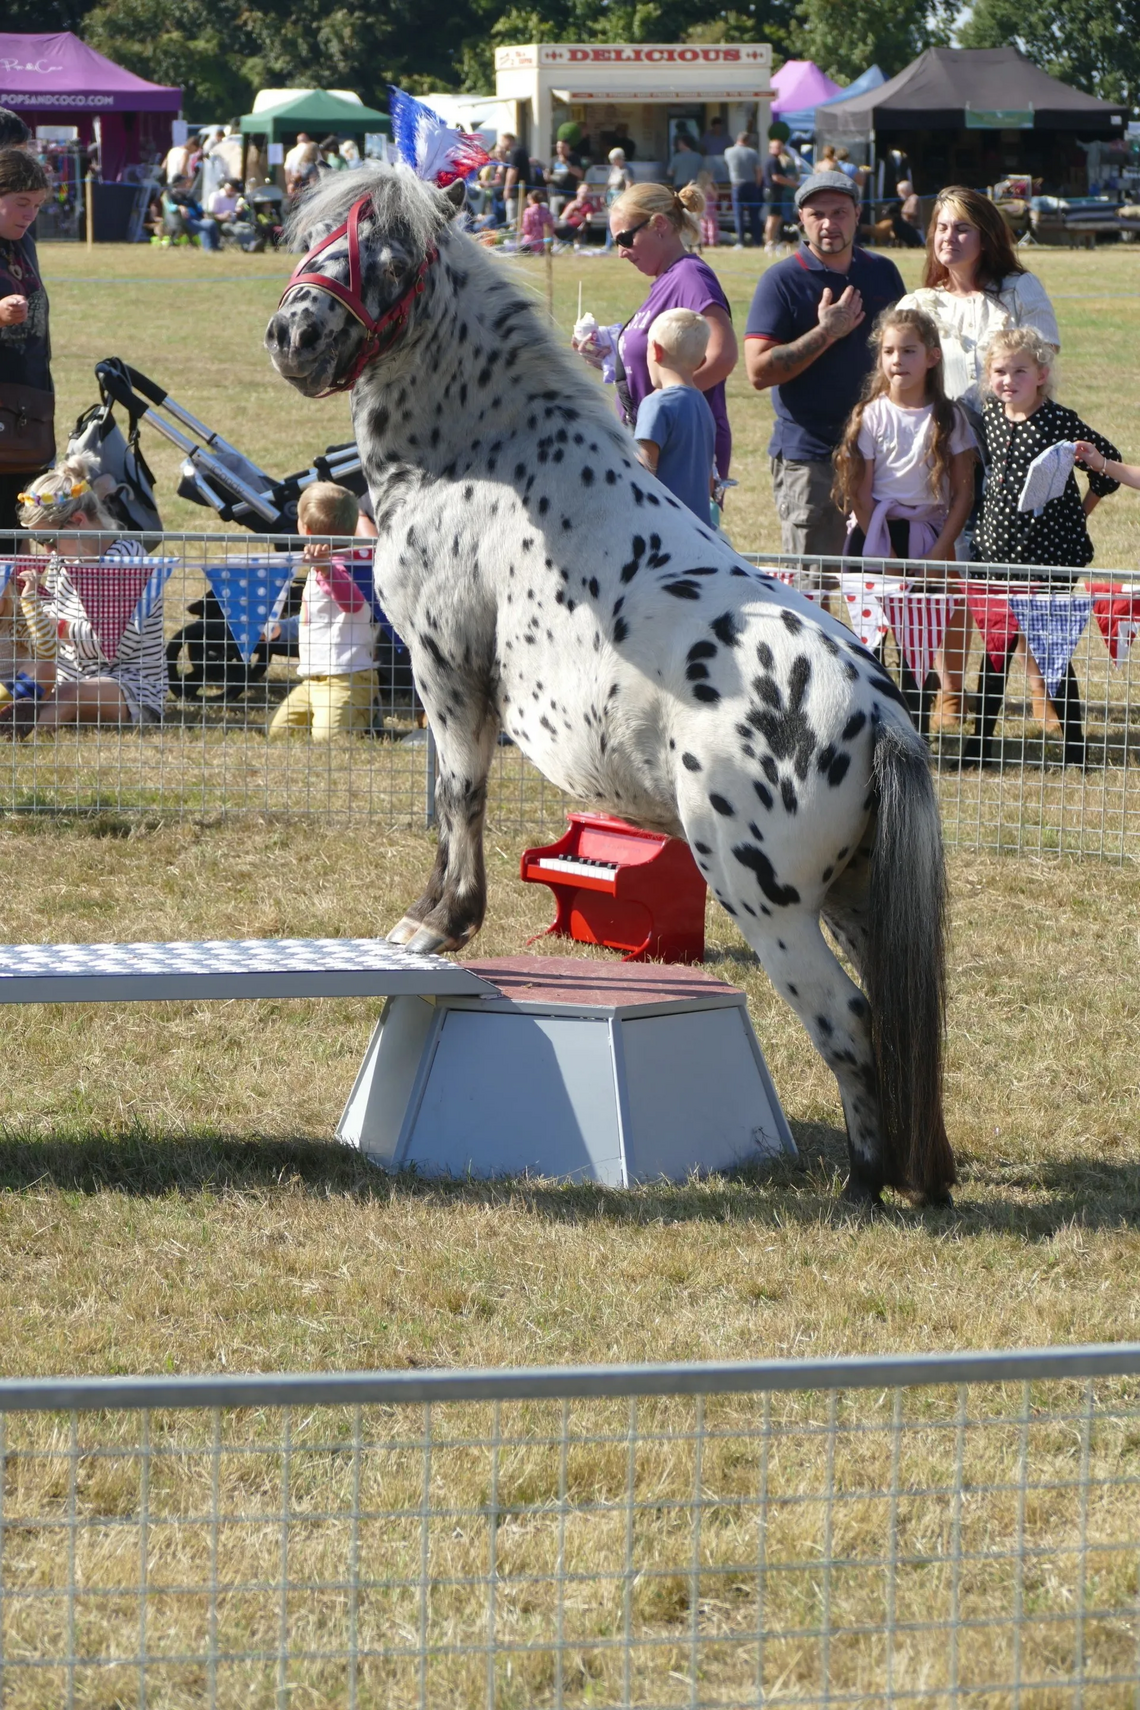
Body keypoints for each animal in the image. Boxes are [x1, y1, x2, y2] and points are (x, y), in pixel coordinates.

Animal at [265, 165, 955, 1208]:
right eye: (315, 239)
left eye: (385, 255)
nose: (295, 333)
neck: (479, 460)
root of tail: (877, 715)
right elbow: (450, 802)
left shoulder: (445, 669)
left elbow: (457, 797)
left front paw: (437, 926)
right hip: (858, 902)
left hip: (770, 906)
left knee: (853, 1021)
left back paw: (863, 1188)